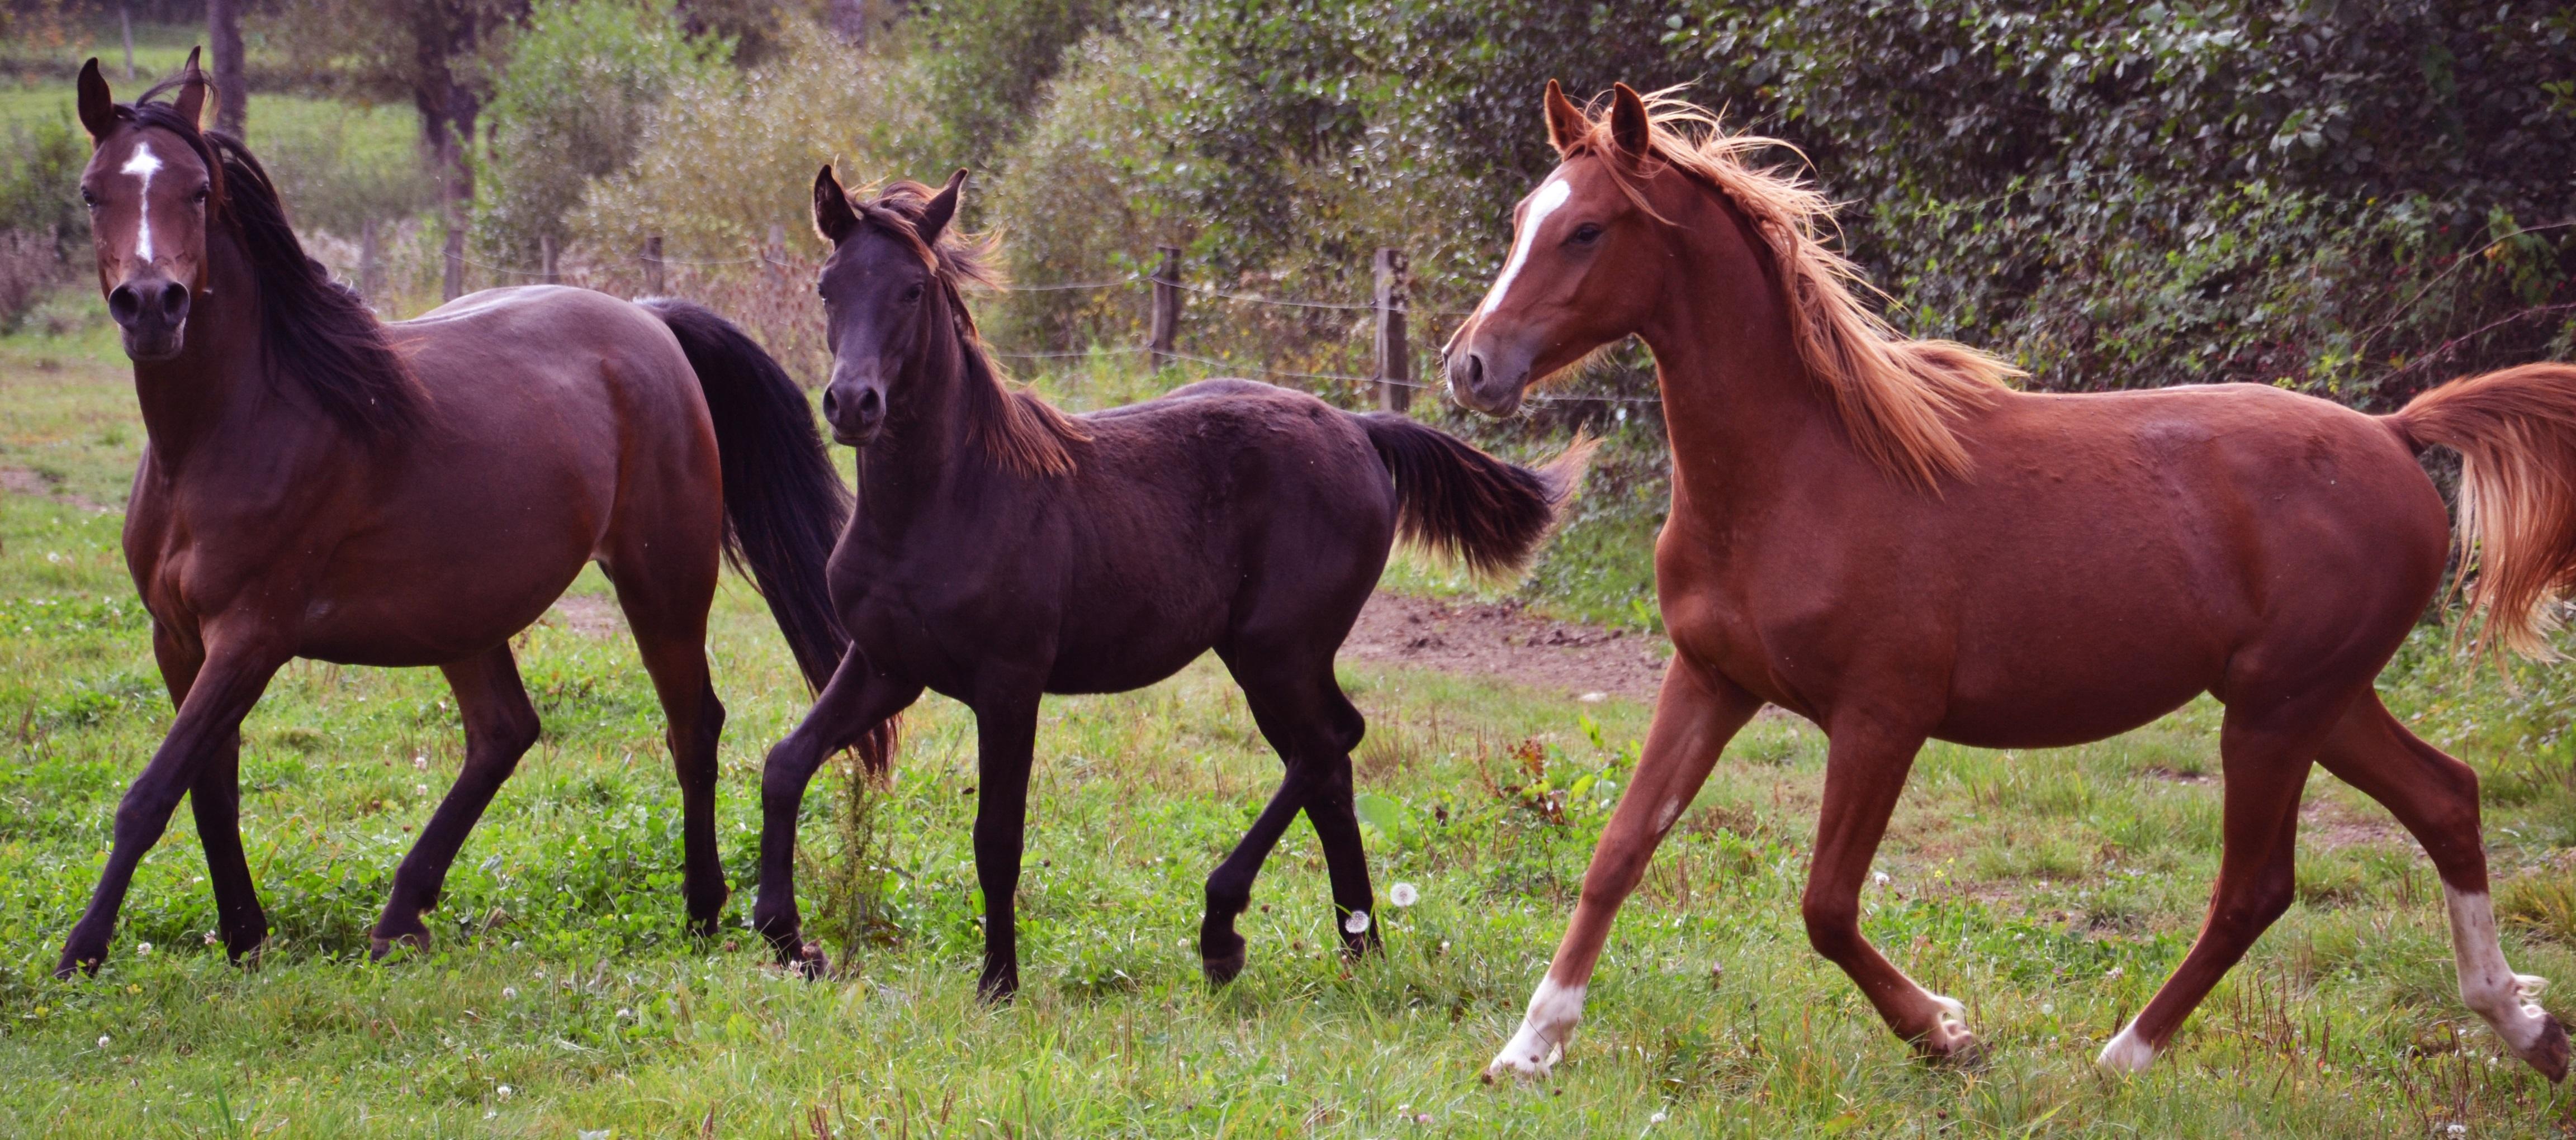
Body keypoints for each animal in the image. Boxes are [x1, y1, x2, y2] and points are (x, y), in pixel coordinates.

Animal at [58, 58, 865, 977]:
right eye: (92, 192)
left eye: (197, 192)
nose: (151, 306)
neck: (225, 432)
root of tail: (648, 320)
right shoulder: (178, 639)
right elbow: (208, 793)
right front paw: (244, 938)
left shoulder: (250, 637)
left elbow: (151, 793)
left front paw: (81, 953)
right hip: (462, 610)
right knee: (503, 733)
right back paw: (401, 914)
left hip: (661, 581)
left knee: (691, 725)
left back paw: (702, 912)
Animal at [747, 169, 1587, 998]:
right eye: (827, 286)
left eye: (914, 289)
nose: (853, 404)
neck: (944, 500)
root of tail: (1358, 429)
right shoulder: (884, 665)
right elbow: (786, 763)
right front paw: (789, 939)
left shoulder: (1009, 684)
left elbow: (997, 835)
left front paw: (999, 982)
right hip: (1268, 660)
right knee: (1327, 764)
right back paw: (1360, 946)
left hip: (1277, 651)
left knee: (1330, 744)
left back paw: (1226, 932)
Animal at [1442, 84, 2565, 1086]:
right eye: (1522, 218)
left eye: (1587, 231)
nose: (1470, 367)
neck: (1797, 474)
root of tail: (2394, 433)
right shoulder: (1708, 682)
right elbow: (1617, 854)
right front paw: (1528, 1048)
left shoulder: (1881, 717)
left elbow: (1825, 905)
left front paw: (1944, 1031)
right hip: (2320, 701)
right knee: (2446, 800)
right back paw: (2526, 1026)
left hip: (2276, 711)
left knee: (2256, 886)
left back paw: (2122, 1057)